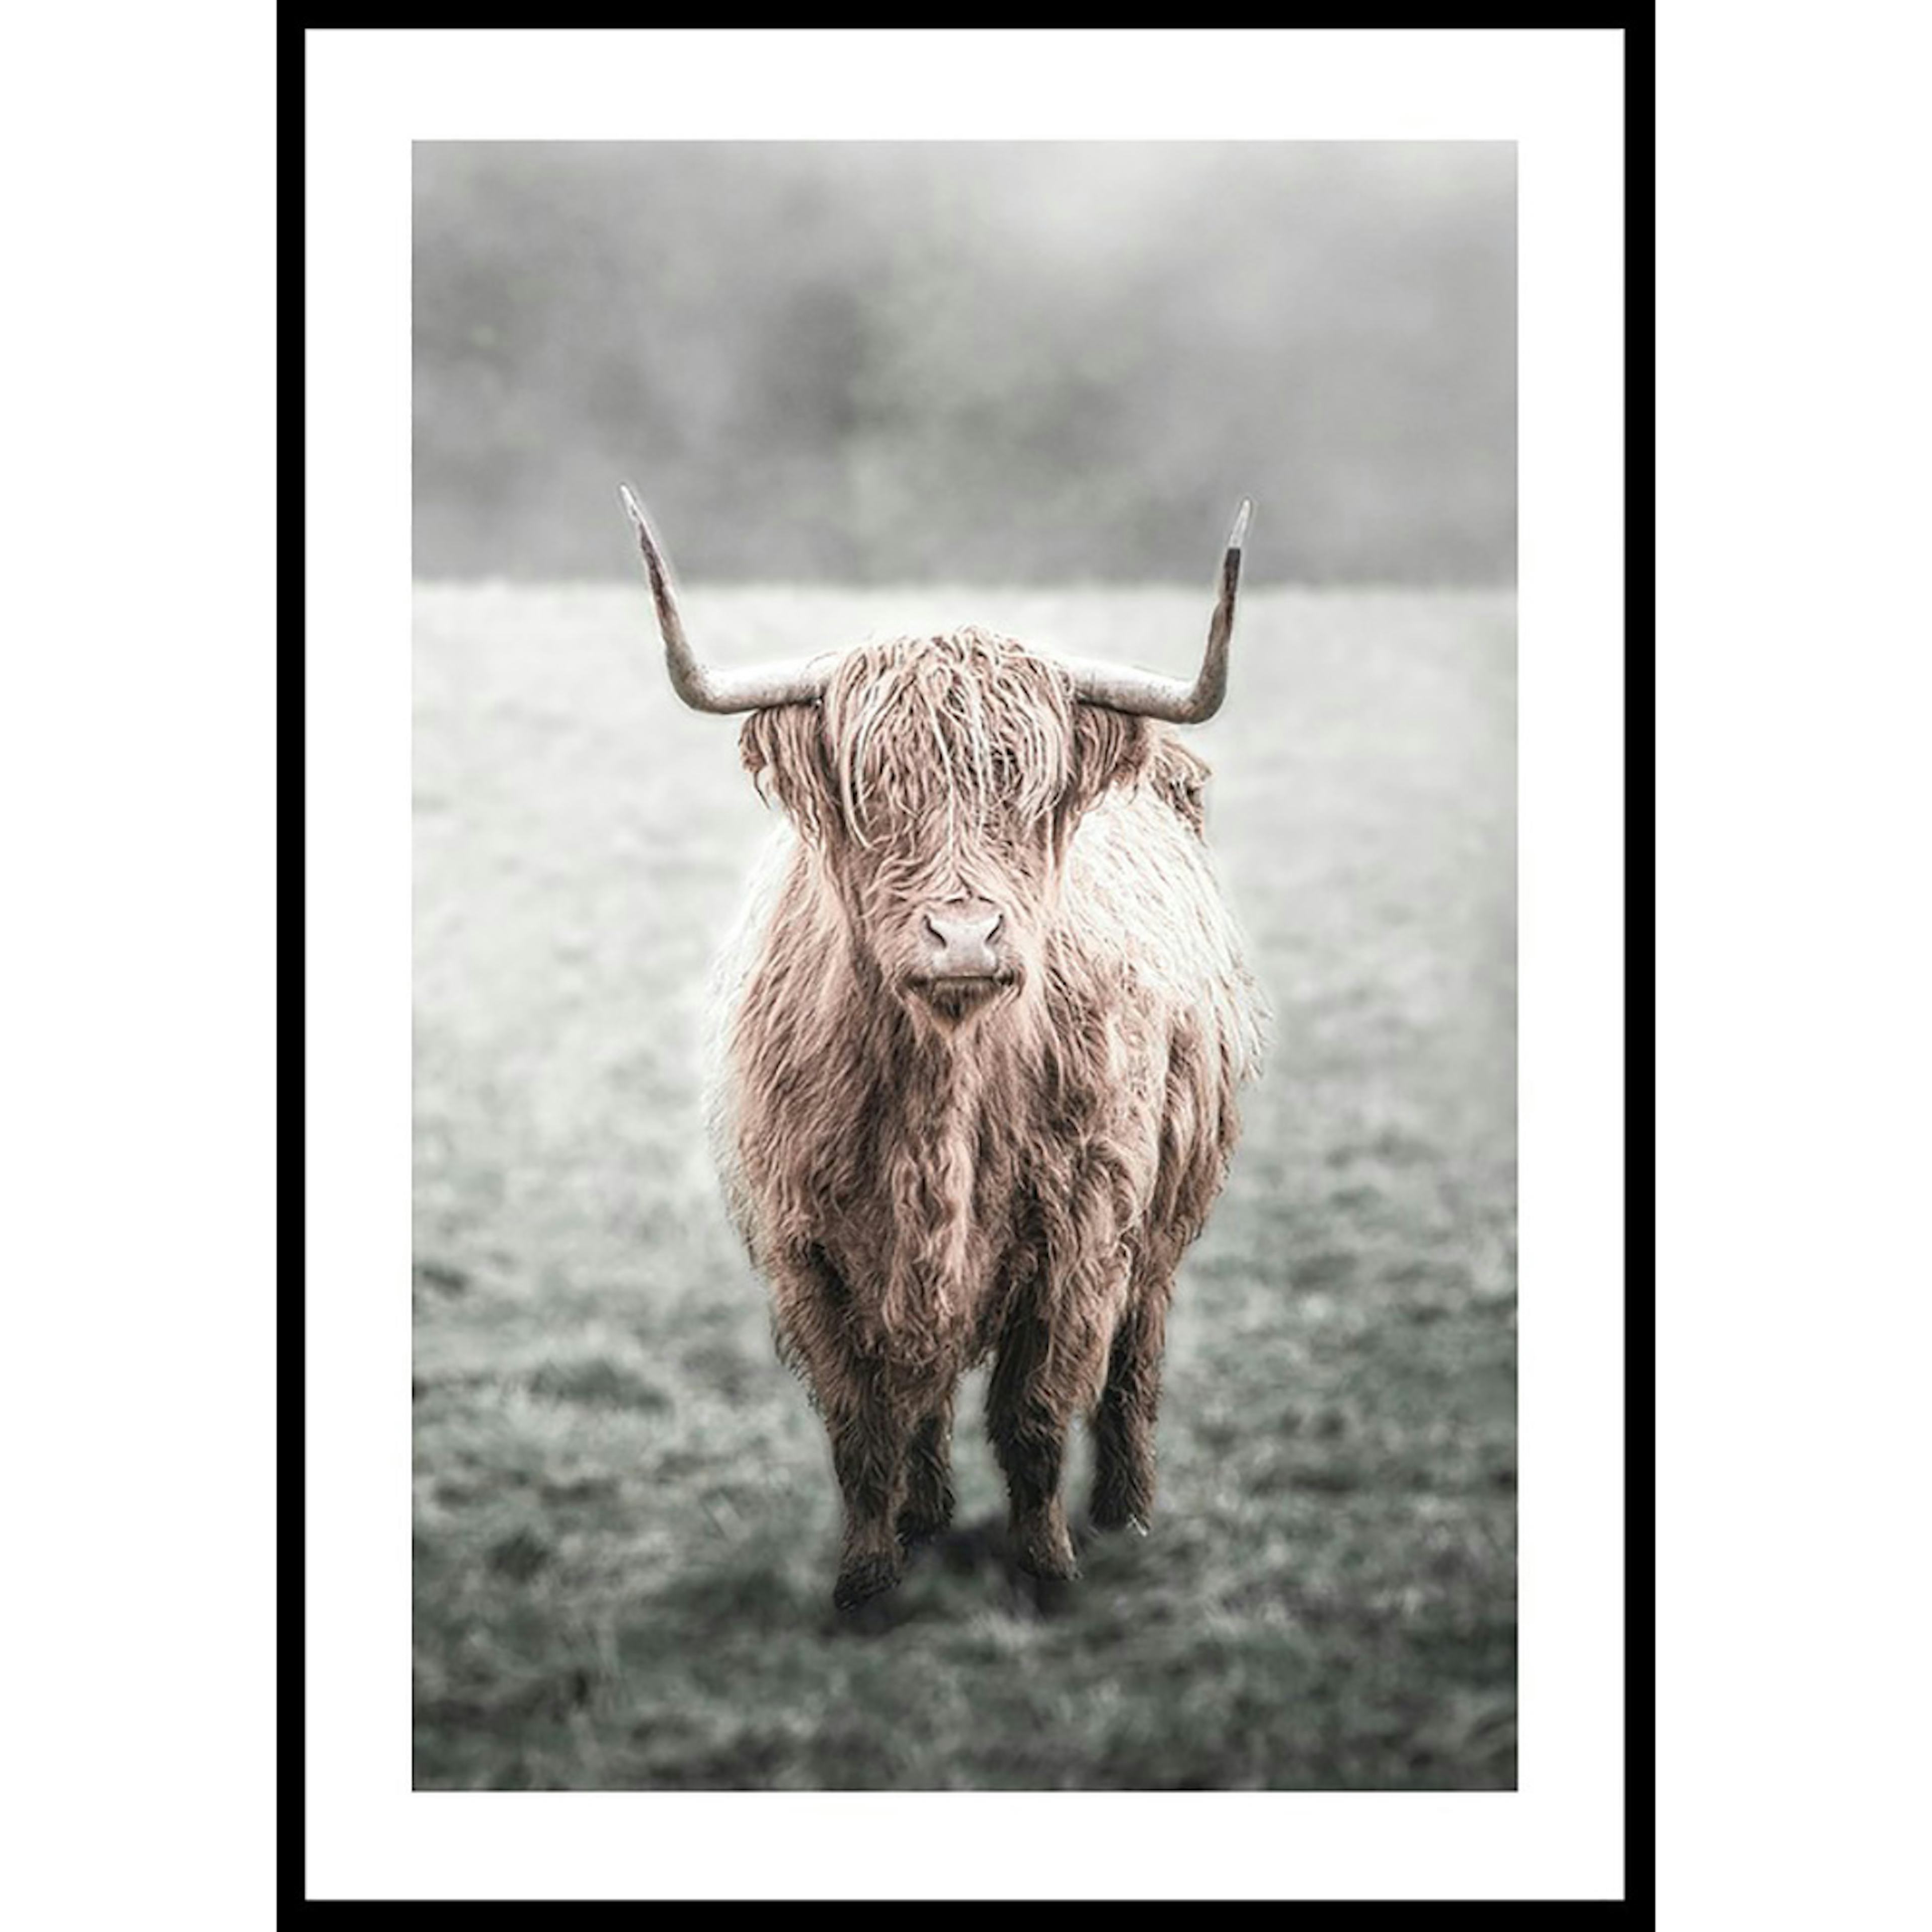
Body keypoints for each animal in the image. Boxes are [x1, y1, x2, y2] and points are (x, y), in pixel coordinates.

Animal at [621, 486, 1268, 1614]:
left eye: (1029, 792)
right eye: (876, 791)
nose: (965, 937)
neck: (946, 1090)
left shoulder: (1084, 1238)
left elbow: (1037, 1416)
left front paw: (1047, 1569)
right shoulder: (808, 1252)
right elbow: (861, 1428)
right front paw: (868, 1579)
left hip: (1164, 1223)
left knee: (1135, 1365)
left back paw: (1127, 1512)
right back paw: (925, 1516)